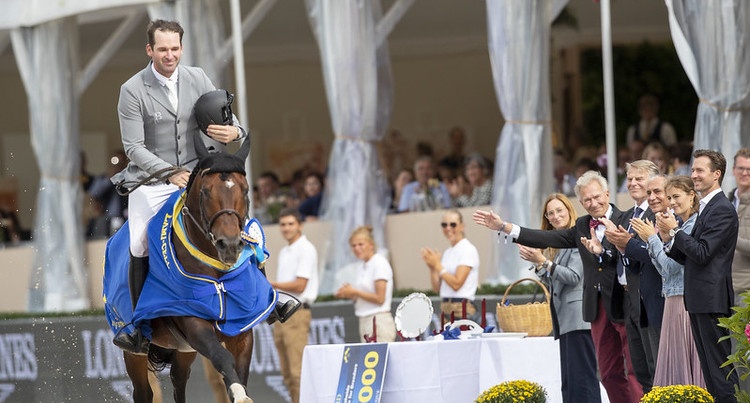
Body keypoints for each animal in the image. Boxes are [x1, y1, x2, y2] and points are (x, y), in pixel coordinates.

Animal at [110, 137, 274, 403]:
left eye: (245, 190)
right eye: (206, 192)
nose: (229, 245)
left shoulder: (242, 329)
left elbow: (239, 372)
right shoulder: (193, 322)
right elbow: (222, 358)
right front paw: (239, 394)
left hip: (183, 350)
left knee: (178, 381)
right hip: (134, 353)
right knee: (143, 391)